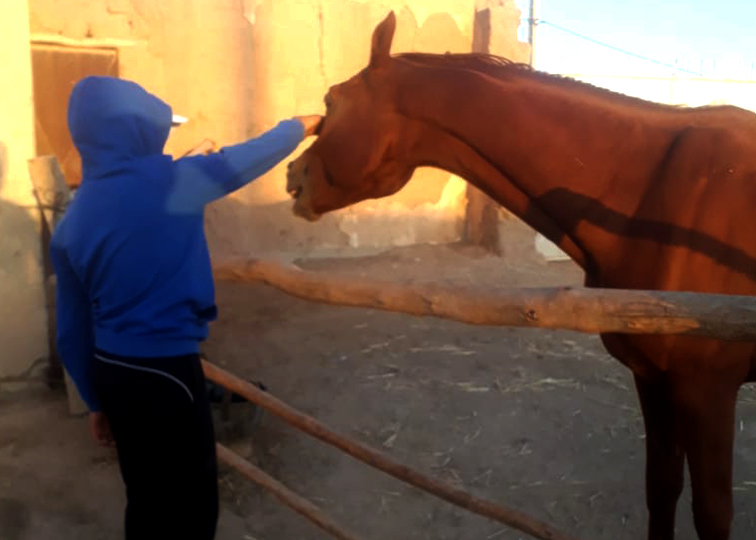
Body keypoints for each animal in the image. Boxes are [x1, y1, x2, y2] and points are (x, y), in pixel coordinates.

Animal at [284, 12, 756, 540]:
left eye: (331, 100)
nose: (293, 175)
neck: (653, 193)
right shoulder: (652, 378)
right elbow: (662, 487)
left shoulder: (707, 389)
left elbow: (712, 513)